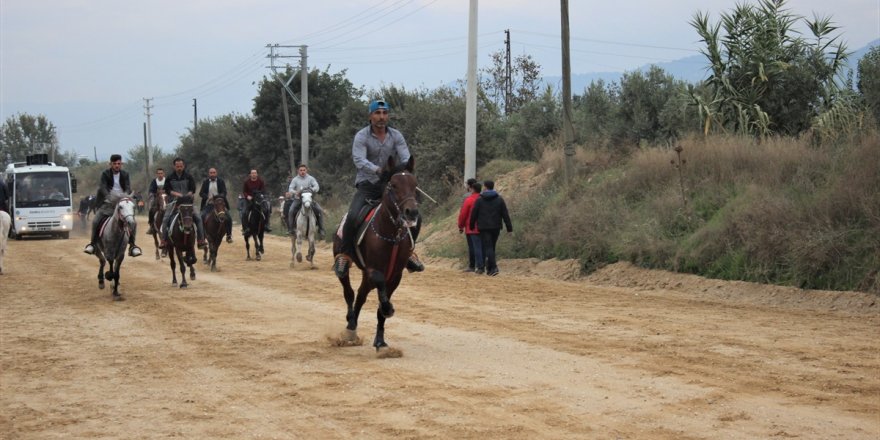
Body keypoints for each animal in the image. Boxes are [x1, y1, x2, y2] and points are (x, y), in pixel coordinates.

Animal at [334, 156, 422, 354]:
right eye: (393, 185)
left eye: (415, 184)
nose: (412, 212)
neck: (392, 235)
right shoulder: (374, 270)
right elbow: (381, 293)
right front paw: (388, 308)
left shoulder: (395, 275)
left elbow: (381, 306)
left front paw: (380, 342)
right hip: (346, 266)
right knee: (350, 292)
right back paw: (350, 327)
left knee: (360, 295)